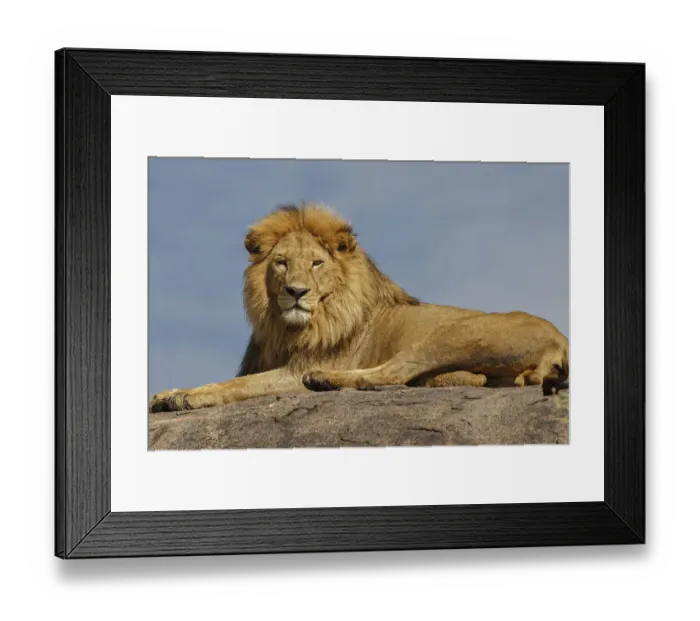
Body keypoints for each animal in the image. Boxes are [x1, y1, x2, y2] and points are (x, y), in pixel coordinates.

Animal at [149, 204, 569, 413]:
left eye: (316, 263)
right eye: (281, 263)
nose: (296, 292)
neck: (288, 327)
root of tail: (562, 342)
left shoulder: (295, 370)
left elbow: (237, 385)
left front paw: (185, 397)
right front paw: (168, 393)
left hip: (455, 333)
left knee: (393, 373)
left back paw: (324, 381)